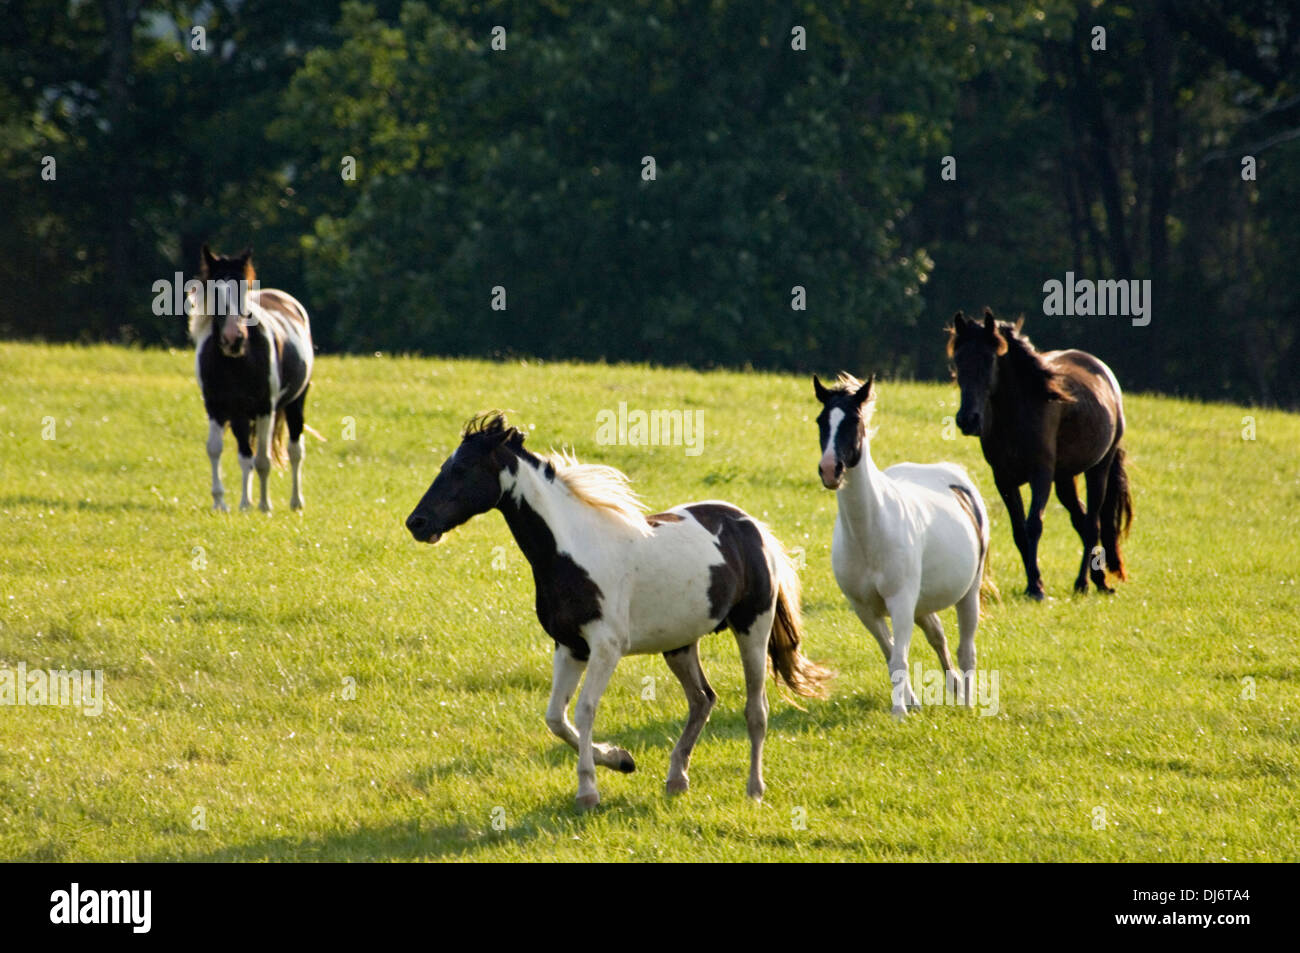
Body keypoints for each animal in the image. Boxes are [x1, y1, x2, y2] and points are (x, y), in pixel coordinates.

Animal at [188, 245, 316, 513]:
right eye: (214, 291)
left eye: (244, 289)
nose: (233, 338)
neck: (236, 362)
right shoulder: (215, 407)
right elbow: (216, 449)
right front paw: (220, 502)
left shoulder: (265, 408)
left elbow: (263, 460)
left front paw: (265, 505)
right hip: (240, 415)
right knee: (245, 455)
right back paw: (245, 503)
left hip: (295, 403)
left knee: (295, 450)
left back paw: (295, 502)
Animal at [405, 412, 832, 809]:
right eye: (445, 465)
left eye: (461, 469)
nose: (416, 523)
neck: (571, 551)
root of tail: (753, 527)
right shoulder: (570, 647)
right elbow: (556, 718)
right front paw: (621, 760)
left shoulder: (606, 647)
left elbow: (584, 711)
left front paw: (588, 791)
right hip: (679, 643)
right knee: (702, 699)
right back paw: (677, 779)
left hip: (752, 629)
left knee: (755, 709)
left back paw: (754, 789)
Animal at [814, 373, 990, 717]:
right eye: (820, 421)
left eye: (854, 421)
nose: (830, 470)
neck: (870, 533)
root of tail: (954, 475)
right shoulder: (865, 609)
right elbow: (891, 653)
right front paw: (910, 703)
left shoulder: (901, 601)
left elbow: (899, 657)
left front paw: (899, 713)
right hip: (921, 604)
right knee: (938, 636)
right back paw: (950, 689)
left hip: (968, 594)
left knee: (966, 649)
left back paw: (966, 701)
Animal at [948, 309, 1133, 599]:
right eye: (958, 359)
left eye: (989, 359)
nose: (968, 420)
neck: (1017, 412)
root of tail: (1104, 373)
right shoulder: (1004, 479)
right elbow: (1019, 531)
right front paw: (1034, 582)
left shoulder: (1041, 474)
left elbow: (1034, 525)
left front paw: (1036, 587)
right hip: (1065, 478)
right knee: (1081, 520)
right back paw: (1098, 579)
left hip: (1098, 469)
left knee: (1092, 524)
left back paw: (1086, 583)